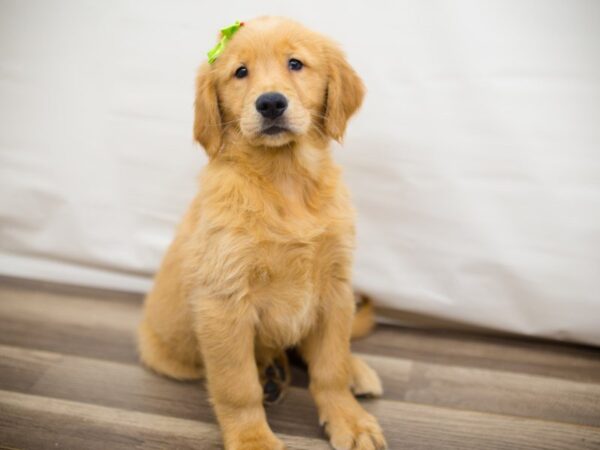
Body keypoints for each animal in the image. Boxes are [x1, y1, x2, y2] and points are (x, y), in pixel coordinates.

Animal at [139, 15, 386, 448]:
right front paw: (253, 438)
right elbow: (237, 387)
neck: (284, 178)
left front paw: (349, 420)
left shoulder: (335, 288)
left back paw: (352, 369)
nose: (270, 103)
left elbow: (331, 366)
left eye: (295, 63)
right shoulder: (224, 301)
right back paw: (270, 375)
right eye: (240, 72)